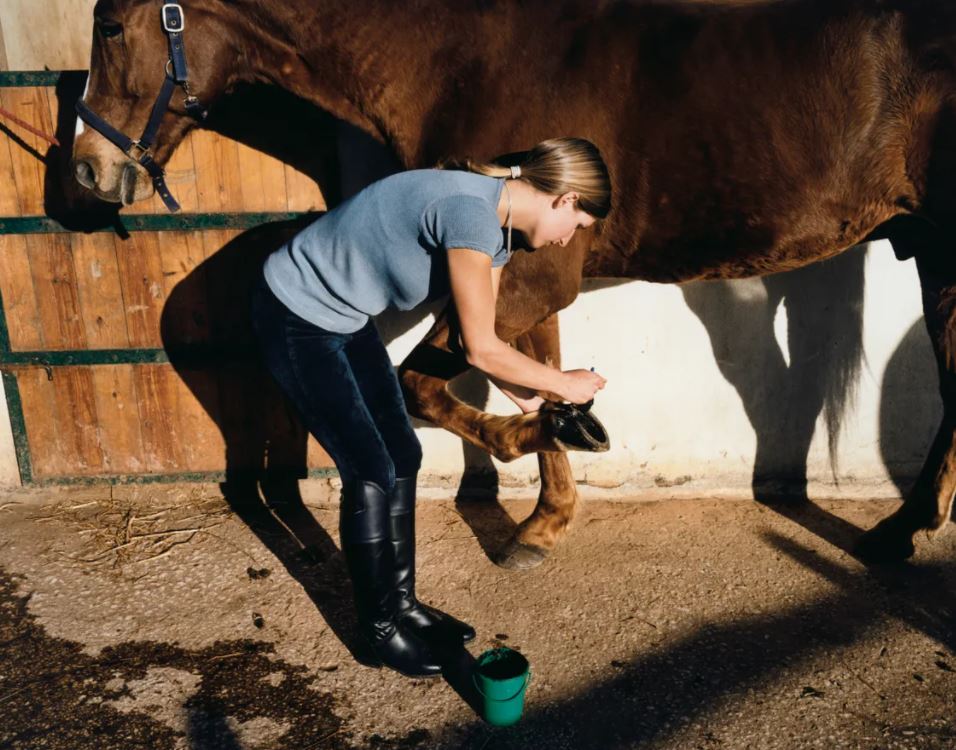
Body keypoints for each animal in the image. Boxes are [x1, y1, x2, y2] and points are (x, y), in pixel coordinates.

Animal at [71, 0, 956, 568]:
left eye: (109, 25)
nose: (87, 168)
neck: (461, 58)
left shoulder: (525, 279)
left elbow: (422, 388)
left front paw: (531, 445)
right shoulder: (525, 276)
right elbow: (541, 372)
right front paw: (547, 509)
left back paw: (902, 534)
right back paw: (904, 529)